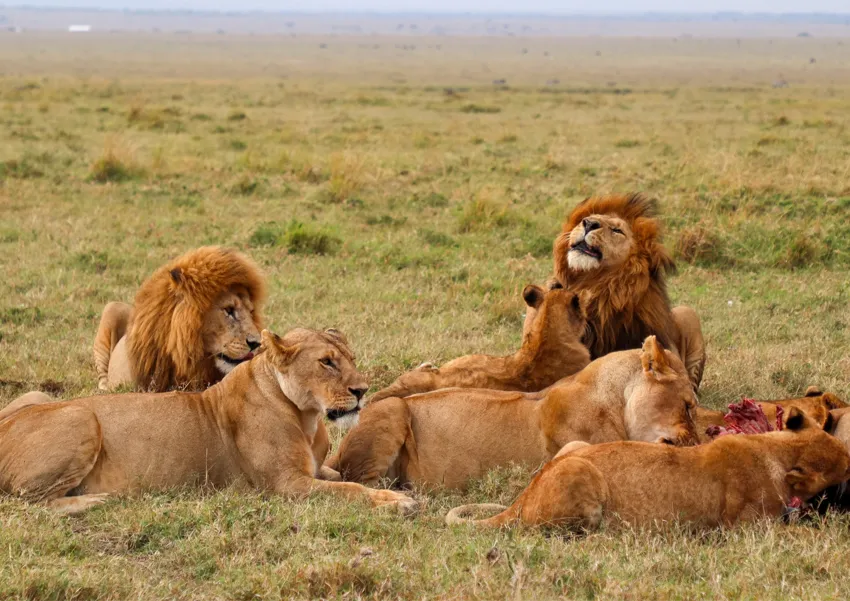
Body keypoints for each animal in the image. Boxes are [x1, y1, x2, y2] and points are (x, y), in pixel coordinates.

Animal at [0, 328, 417, 515]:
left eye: (350, 358)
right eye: (327, 362)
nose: (362, 390)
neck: (308, 416)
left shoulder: (310, 472)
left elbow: (340, 475)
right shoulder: (286, 486)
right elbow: (348, 490)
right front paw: (397, 500)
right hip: (82, 415)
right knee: (29, 503)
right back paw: (100, 499)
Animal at [446, 408, 850, 530]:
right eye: (847, 470)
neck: (777, 449)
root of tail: (523, 498)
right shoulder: (748, 528)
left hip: (573, 449)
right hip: (580, 470)